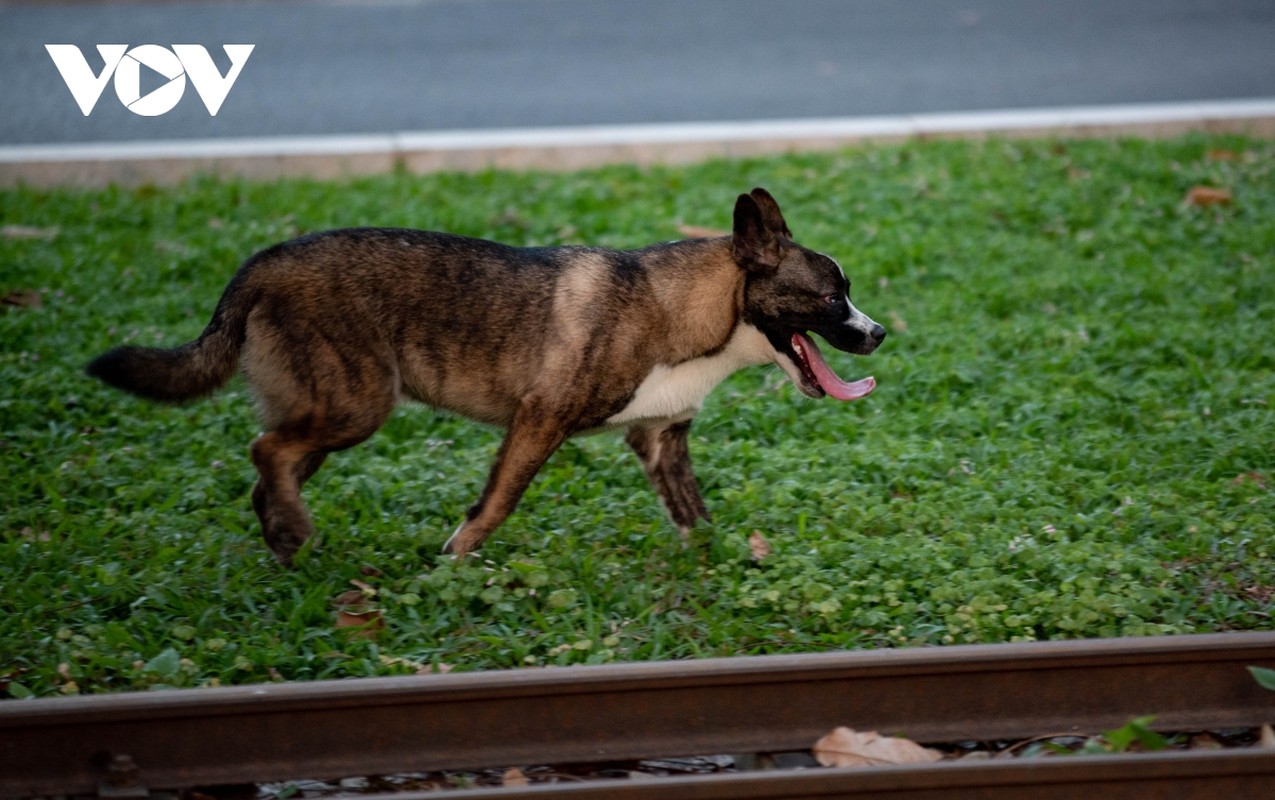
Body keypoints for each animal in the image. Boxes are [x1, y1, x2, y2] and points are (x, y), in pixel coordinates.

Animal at [87, 188, 887, 566]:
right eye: (830, 297)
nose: (877, 334)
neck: (683, 307)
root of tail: (259, 265)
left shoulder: (661, 442)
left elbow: (694, 517)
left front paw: (719, 563)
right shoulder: (537, 424)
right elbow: (495, 506)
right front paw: (453, 564)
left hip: (321, 412)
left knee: (268, 466)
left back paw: (284, 541)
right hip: (355, 405)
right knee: (265, 452)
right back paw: (296, 534)